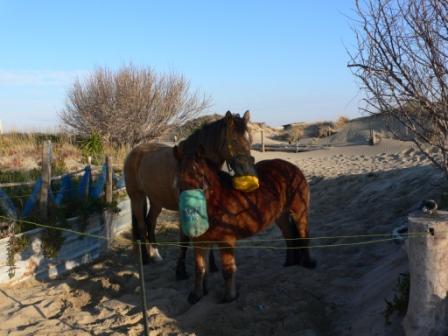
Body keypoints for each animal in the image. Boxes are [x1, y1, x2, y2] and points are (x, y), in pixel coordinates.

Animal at [123, 112, 256, 266]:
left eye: (250, 139)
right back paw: (144, 259)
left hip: (156, 200)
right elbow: (185, 239)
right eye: (234, 140)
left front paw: (212, 265)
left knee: (151, 222)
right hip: (137, 198)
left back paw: (155, 254)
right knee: (142, 225)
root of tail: (134, 152)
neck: (192, 165)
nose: (247, 170)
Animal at [173, 146, 316, 304]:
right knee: (289, 235)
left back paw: (308, 263)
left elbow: (228, 269)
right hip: (281, 216)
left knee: (303, 235)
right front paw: (196, 295)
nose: (189, 208)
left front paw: (229, 296)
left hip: (299, 213)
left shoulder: (226, 240)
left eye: (200, 174)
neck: (216, 201)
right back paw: (290, 263)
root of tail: (292, 168)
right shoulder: (200, 241)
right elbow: (199, 269)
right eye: (178, 176)